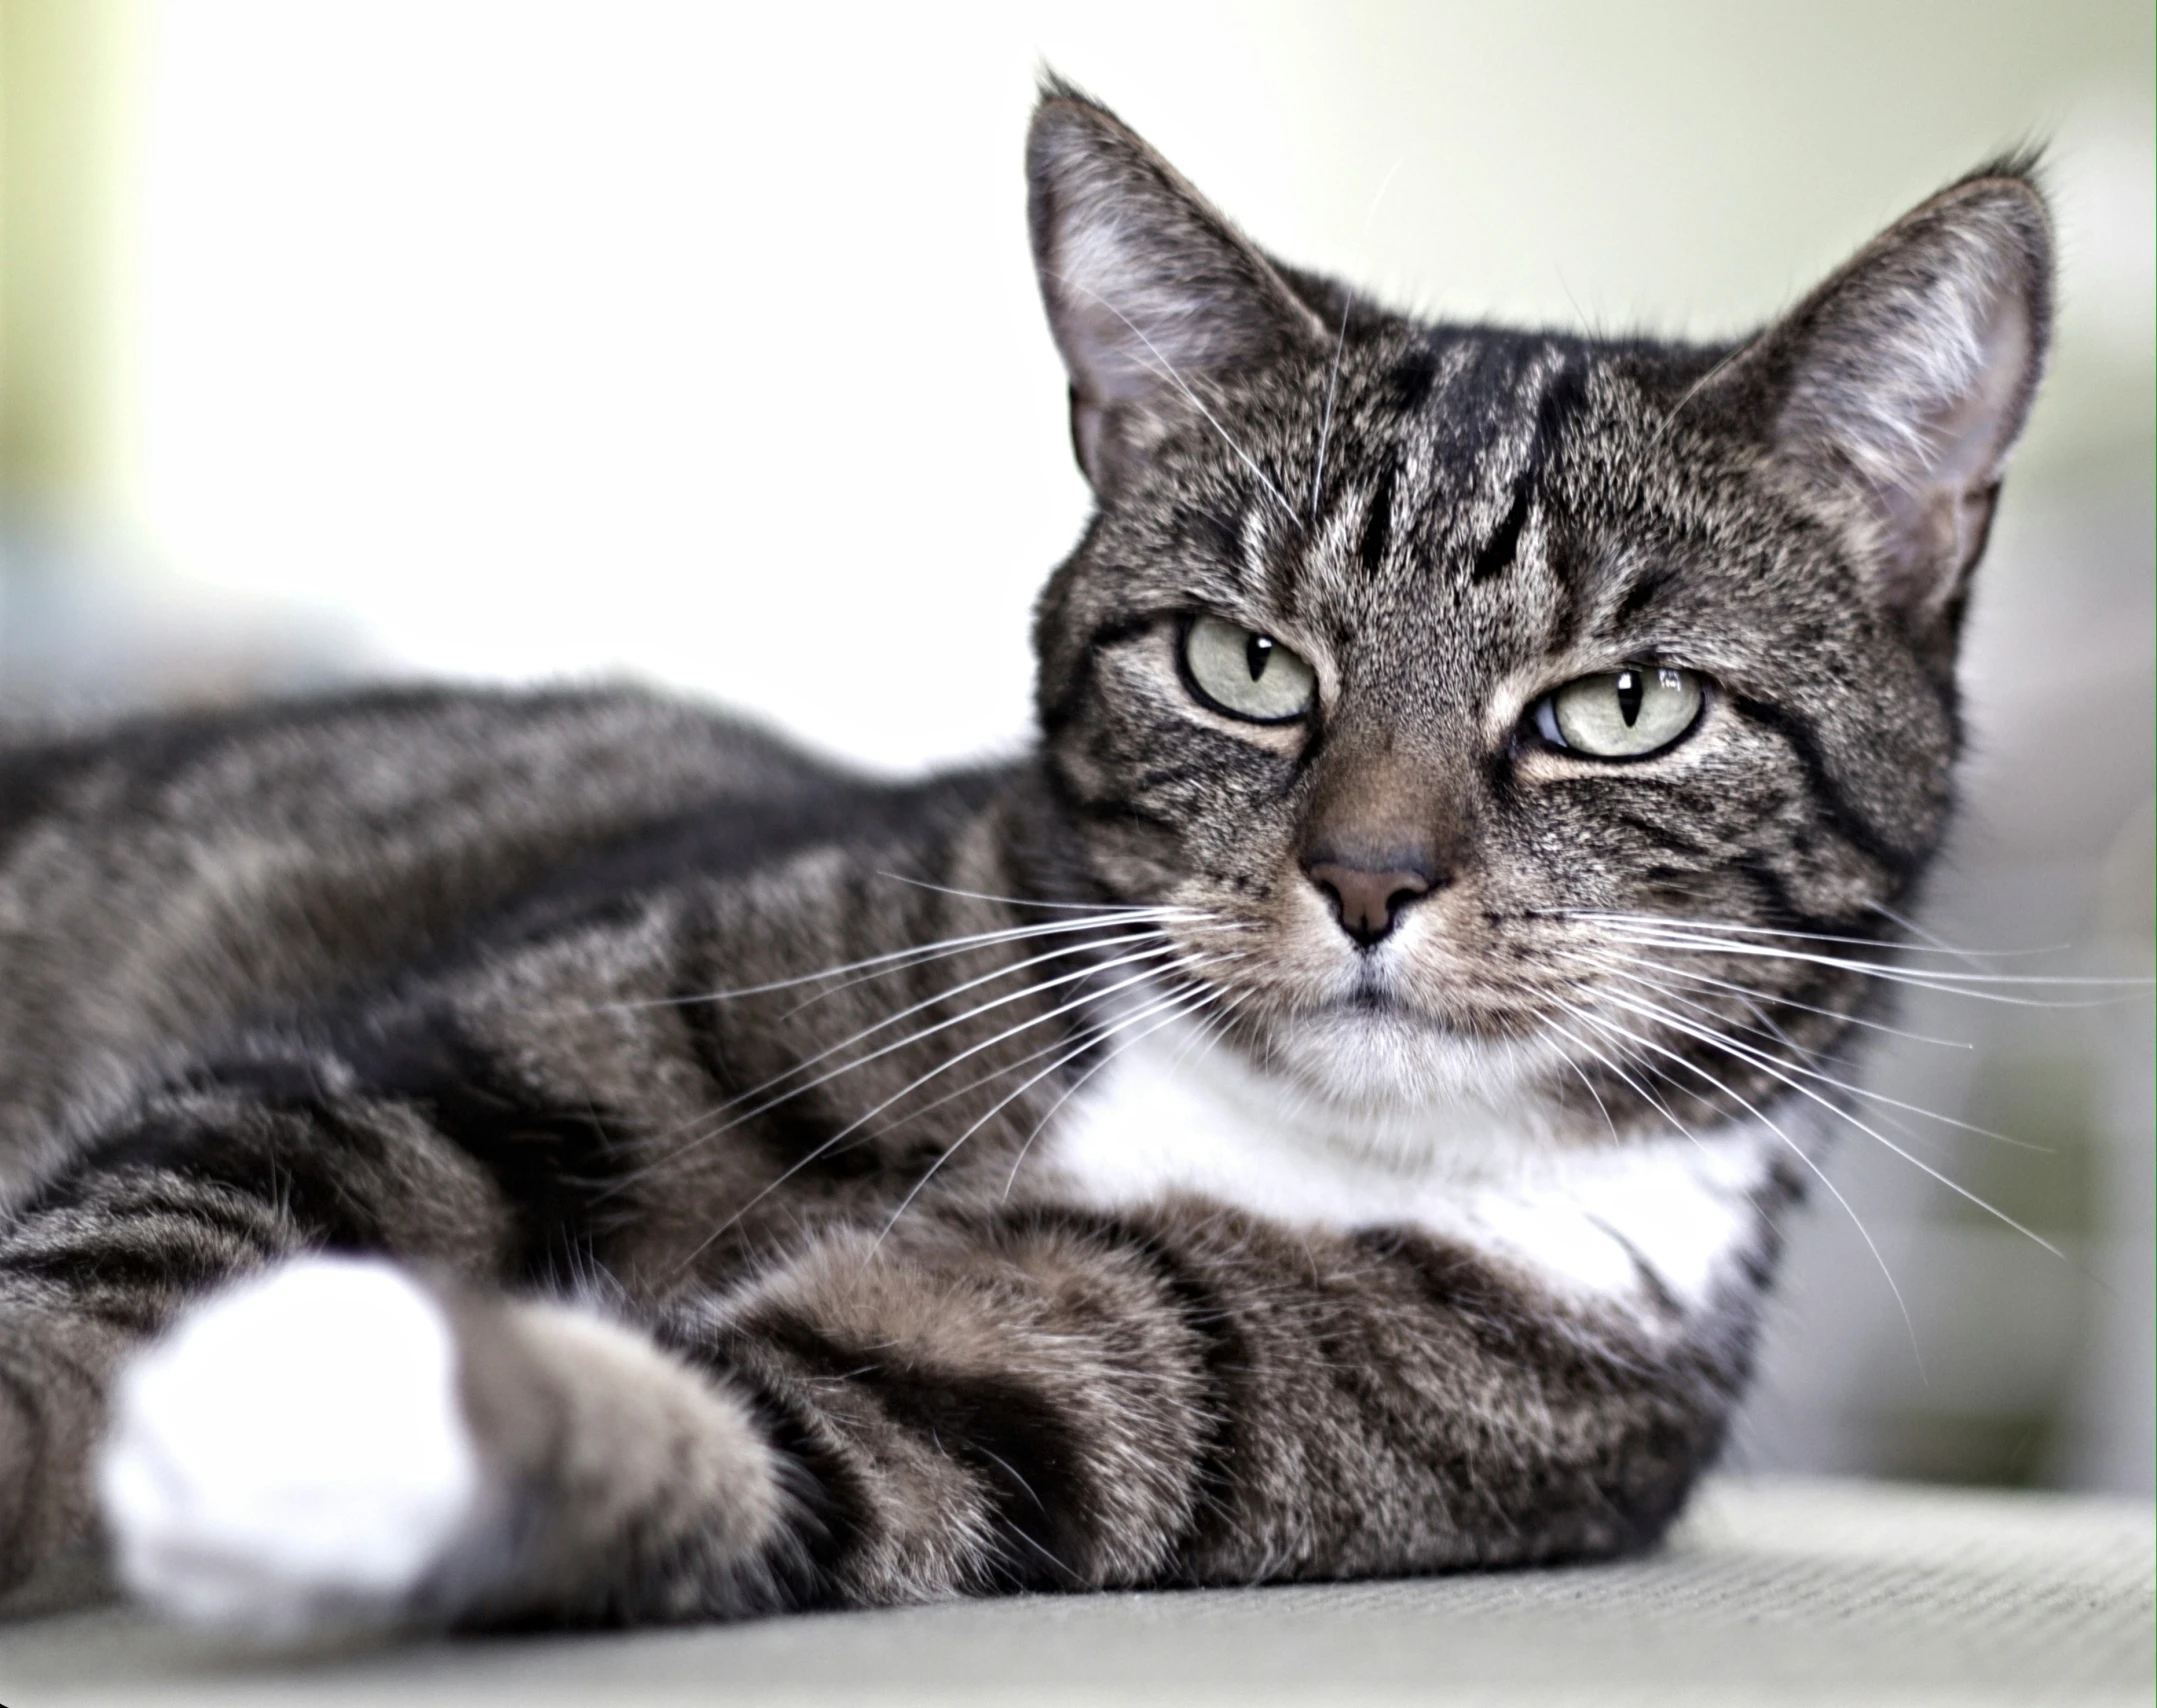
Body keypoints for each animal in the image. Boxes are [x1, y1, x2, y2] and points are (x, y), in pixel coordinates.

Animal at [0, 86, 2053, 1630]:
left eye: (1622, 705)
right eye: (1243, 665)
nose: (1367, 878)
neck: (1243, 1111)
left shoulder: (1119, 1398)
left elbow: (768, 1439)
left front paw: (330, 1421)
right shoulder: (481, 1064)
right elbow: (147, 1235)